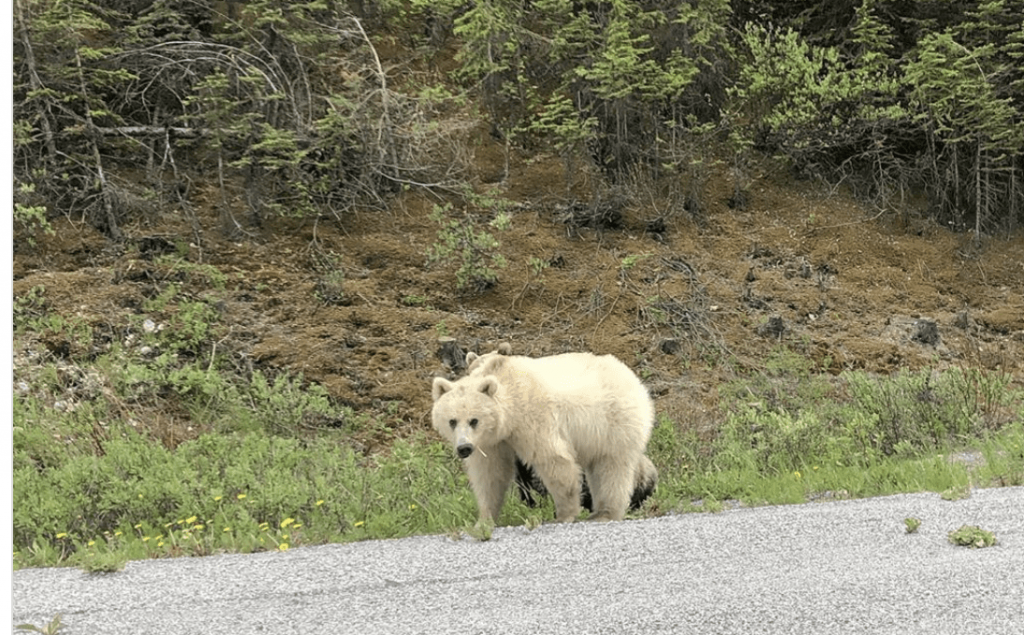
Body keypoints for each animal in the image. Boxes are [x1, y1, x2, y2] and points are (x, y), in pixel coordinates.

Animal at [432, 350, 655, 524]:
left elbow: (553, 459)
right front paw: (484, 520)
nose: (464, 448)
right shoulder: (492, 441)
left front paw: (563, 514)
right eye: (452, 421)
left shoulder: (533, 418)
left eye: (474, 420)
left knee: (612, 467)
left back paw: (606, 513)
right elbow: (491, 474)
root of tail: (633, 378)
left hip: (613, 421)